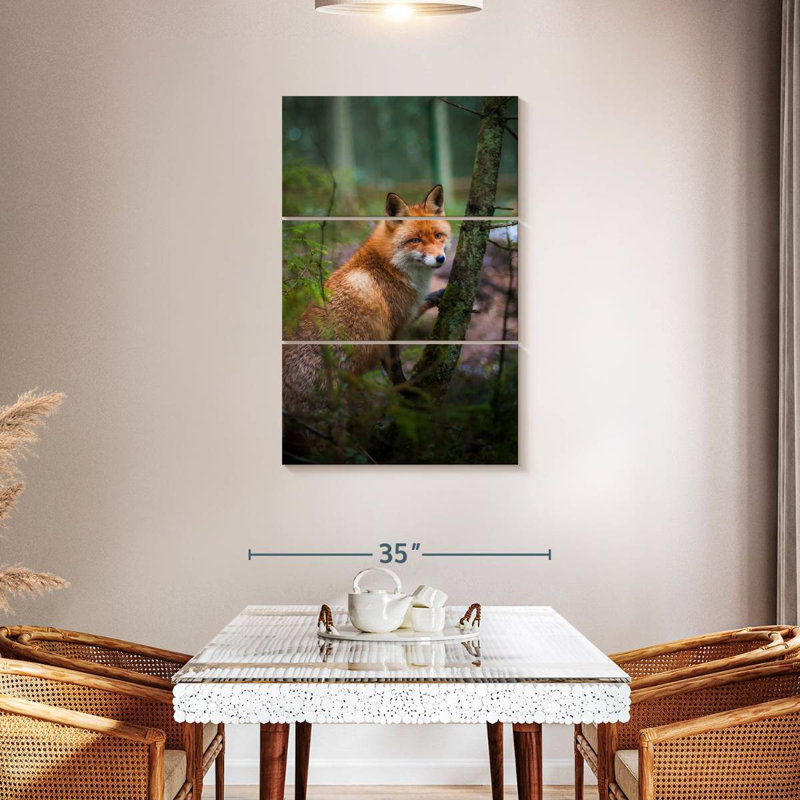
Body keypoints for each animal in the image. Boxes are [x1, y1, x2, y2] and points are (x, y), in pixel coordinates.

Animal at [283, 185, 451, 411]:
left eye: (438, 235)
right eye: (415, 240)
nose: (440, 259)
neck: (389, 266)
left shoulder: (405, 315)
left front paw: (438, 295)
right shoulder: (392, 328)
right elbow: (395, 371)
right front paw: (408, 393)